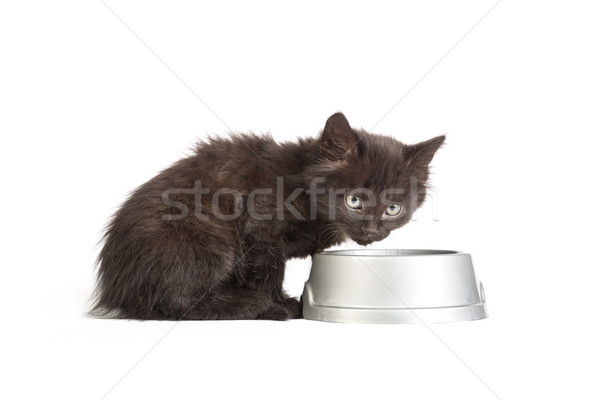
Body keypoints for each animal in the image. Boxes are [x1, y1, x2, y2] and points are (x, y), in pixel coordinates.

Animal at [91, 114, 442, 320]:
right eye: (354, 200)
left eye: (393, 209)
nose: (371, 230)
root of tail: (115, 290)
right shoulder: (259, 227)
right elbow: (268, 271)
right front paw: (279, 305)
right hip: (208, 239)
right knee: (175, 303)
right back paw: (248, 304)